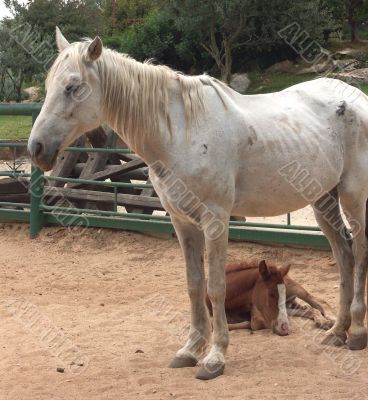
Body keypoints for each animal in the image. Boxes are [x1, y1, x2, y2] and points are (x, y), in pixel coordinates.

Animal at [29, 27, 368, 378]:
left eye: (72, 86)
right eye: (49, 85)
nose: (36, 148)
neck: (180, 133)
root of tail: (356, 97)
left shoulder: (215, 220)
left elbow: (216, 286)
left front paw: (215, 357)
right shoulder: (182, 221)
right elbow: (194, 285)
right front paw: (191, 350)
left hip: (353, 194)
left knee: (359, 253)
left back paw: (356, 333)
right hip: (323, 199)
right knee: (344, 257)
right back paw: (337, 332)